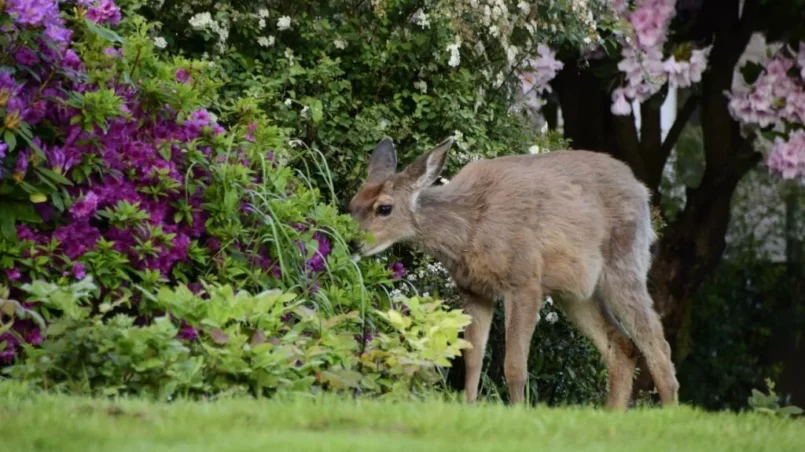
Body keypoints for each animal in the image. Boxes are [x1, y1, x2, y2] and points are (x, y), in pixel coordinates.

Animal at [348, 137, 680, 410]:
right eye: (352, 204)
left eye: (385, 208)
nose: (352, 242)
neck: (468, 227)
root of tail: (642, 190)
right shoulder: (474, 289)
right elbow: (472, 358)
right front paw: (469, 407)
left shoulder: (524, 281)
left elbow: (514, 366)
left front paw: (519, 411)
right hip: (576, 294)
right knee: (622, 348)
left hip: (624, 265)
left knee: (658, 345)